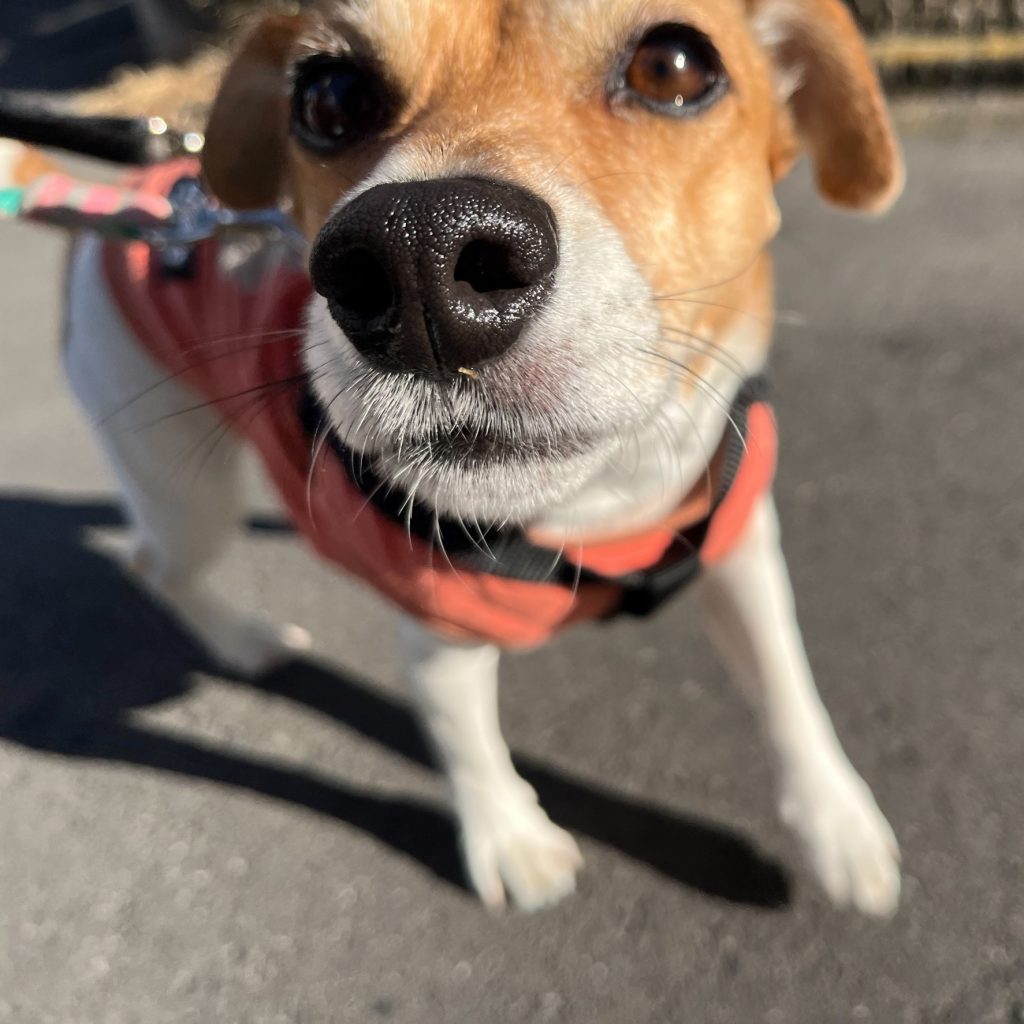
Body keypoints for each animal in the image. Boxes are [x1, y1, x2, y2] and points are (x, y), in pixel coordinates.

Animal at [61, 0, 905, 913]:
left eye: (675, 66)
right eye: (329, 96)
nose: (416, 256)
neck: (601, 505)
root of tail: (128, 202)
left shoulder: (740, 546)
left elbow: (788, 686)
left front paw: (837, 823)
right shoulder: (437, 628)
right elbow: (465, 737)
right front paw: (511, 838)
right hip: (183, 488)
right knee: (153, 563)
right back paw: (242, 640)